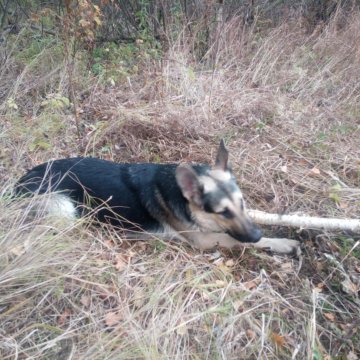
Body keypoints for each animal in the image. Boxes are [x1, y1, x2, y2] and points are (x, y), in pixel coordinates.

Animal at [15, 142, 300, 255]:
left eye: (241, 203)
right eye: (223, 212)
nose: (257, 235)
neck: (181, 197)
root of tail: (17, 183)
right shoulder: (205, 240)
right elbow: (237, 241)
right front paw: (282, 243)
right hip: (64, 207)